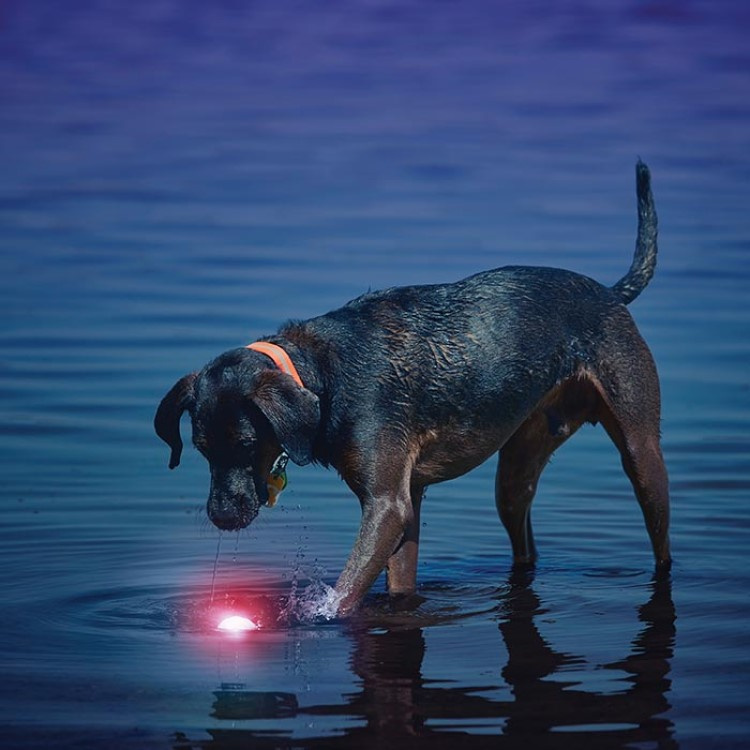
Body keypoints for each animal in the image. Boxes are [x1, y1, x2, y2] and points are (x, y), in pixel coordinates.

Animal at [156, 163, 672, 616]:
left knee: (661, 540)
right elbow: (398, 582)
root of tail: (610, 293)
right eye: (201, 449)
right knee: (524, 539)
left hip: (642, 452)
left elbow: (343, 596)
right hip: (516, 470)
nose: (222, 517)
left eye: (247, 443)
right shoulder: (407, 503)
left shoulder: (387, 505)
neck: (320, 376)